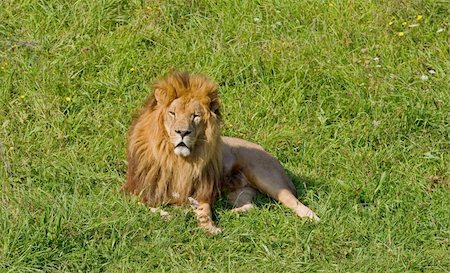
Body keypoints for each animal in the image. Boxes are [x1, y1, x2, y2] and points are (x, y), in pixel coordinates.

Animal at [123, 71, 320, 233]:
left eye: (195, 116)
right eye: (172, 113)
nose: (183, 132)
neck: (177, 159)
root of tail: (267, 152)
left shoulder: (203, 190)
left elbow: (205, 210)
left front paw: (210, 227)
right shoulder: (136, 190)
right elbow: (144, 206)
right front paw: (169, 214)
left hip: (267, 179)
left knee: (295, 203)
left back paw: (314, 220)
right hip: (239, 191)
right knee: (251, 206)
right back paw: (230, 212)